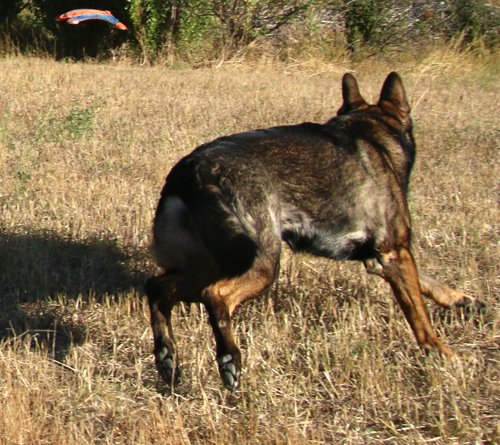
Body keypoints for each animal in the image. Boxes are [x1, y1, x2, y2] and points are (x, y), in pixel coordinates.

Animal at [145, 72, 478, 391]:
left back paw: (167, 358)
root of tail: (188, 170)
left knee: (159, 288)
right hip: (261, 263)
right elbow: (418, 313)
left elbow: (427, 283)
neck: (374, 133)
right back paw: (229, 360)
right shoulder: (394, 252)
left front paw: (463, 300)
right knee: (214, 295)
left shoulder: (382, 258)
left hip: (213, 264)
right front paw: (442, 352)